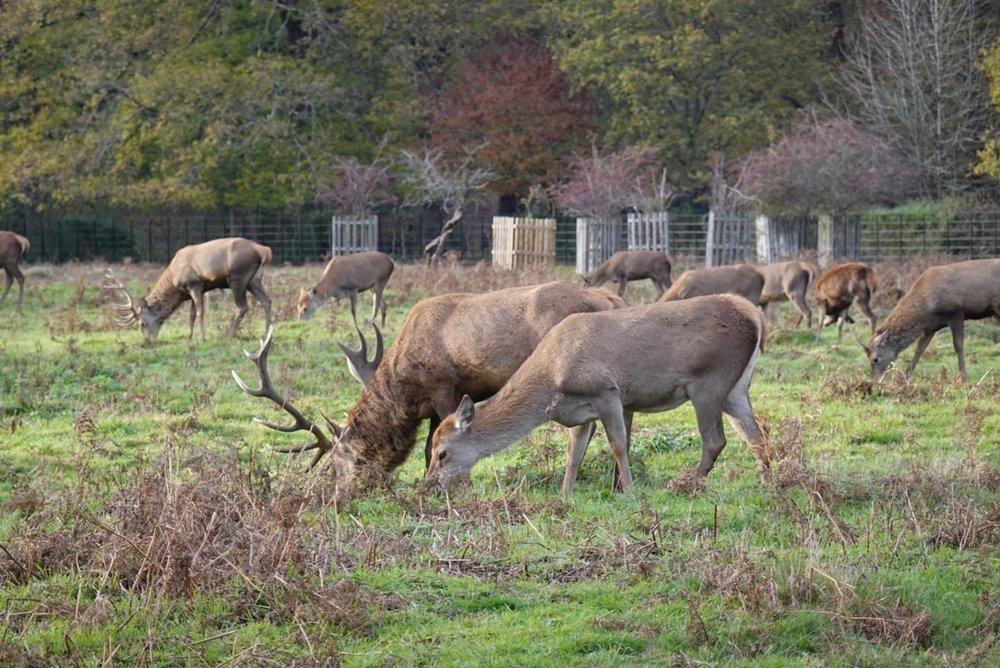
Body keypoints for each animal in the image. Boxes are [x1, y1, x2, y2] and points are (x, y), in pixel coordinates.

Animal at [104, 237, 272, 342]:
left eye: (142, 323)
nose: (147, 340)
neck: (174, 281)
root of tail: (264, 250)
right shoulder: (194, 291)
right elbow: (191, 315)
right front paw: (189, 337)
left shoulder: (195, 284)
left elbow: (199, 312)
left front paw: (202, 338)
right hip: (254, 280)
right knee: (267, 301)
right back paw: (268, 333)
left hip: (237, 277)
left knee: (242, 306)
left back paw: (227, 335)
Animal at [231, 282, 626, 490]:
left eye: (345, 458)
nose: (342, 496)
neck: (406, 391)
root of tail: (609, 298)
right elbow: (430, 443)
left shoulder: (444, 385)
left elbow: (440, 441)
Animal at [424, 294, 768, 493]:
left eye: (442, 453)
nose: (430, 486)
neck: (551, 380)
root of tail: (753, 315)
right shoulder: (579, 411)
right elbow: (573, 453)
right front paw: (565, 494)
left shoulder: (606, 391)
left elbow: (618, 444)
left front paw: (628, 491)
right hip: (736, 388)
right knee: (756, 434)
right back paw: (769, 483)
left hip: (709, 382)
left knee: (716, 440)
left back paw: (686, 484)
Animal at [860, 259, 999, 382]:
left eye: (875, 359)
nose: (875, 380)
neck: (927, 309)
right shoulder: (930, 327)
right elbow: (919, 349)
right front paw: (905, 377)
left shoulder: (955, 312)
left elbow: (958, 346)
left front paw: (963, 377)